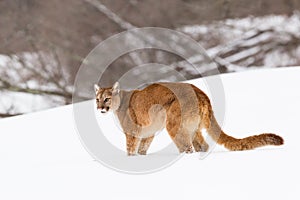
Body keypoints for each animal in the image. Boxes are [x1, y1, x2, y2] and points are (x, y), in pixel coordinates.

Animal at [94, 82, 284, 155]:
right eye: (97, 99)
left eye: (107, 98)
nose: (100, 108)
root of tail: (201, 94)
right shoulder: (148, 132)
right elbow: (142, 148)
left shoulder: (132, 132)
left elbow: (130, 148)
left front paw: (130, 159)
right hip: (194, 127)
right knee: (203, 145)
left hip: (173, 124)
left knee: (187, 147)